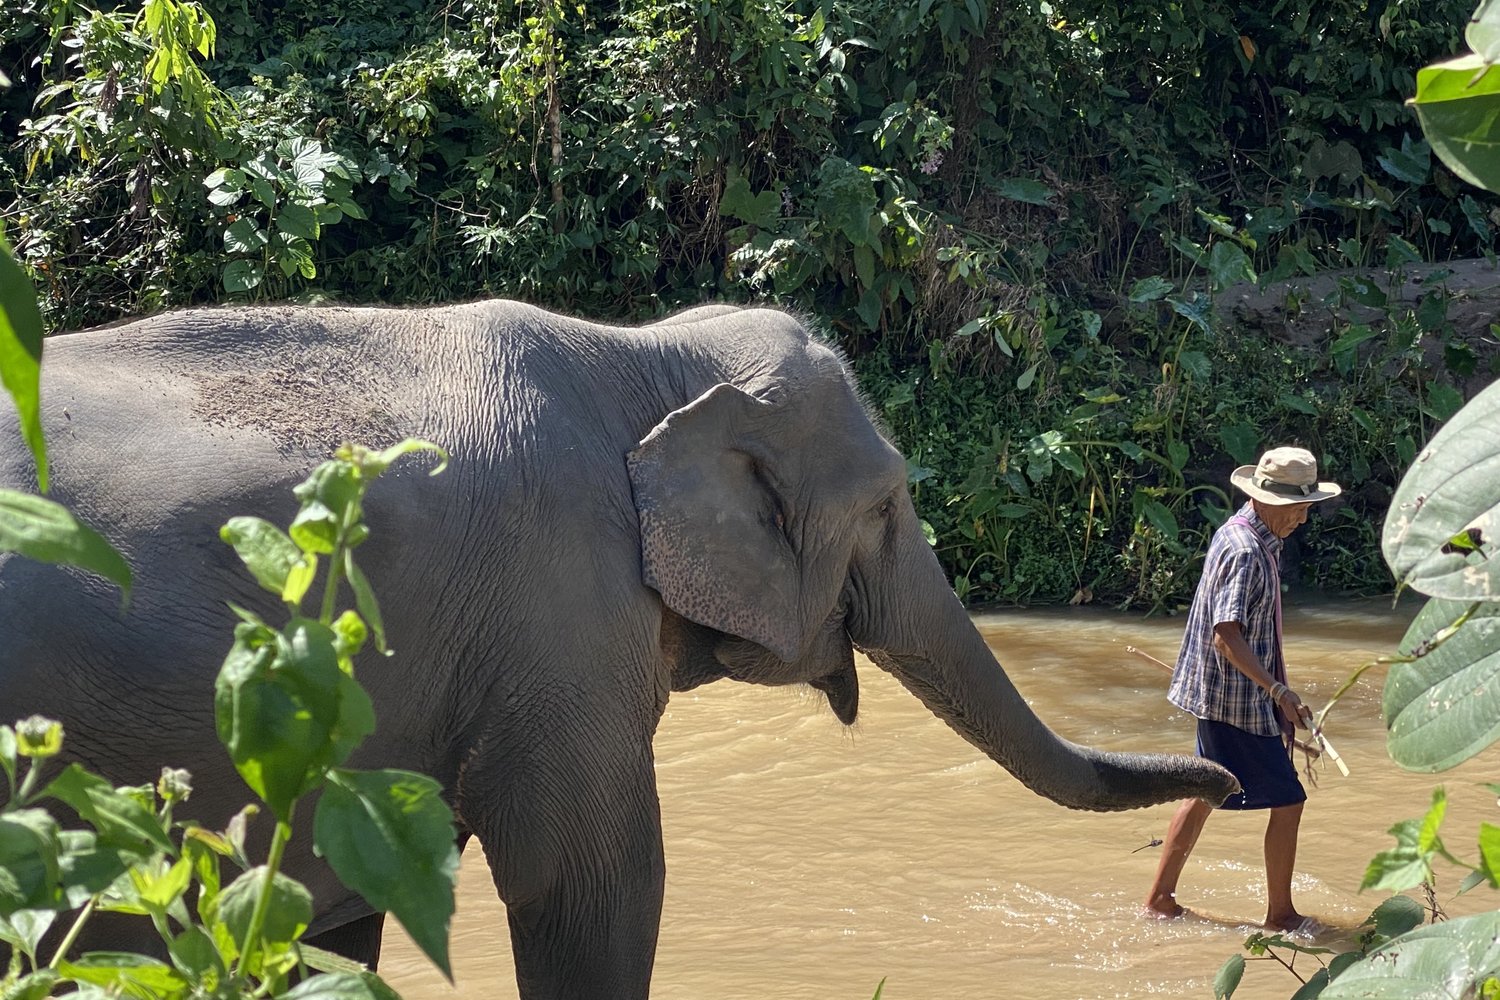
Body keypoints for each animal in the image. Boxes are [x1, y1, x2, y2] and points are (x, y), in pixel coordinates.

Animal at [0, 301, 1236, 997]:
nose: (1227, 778)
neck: (644, 354)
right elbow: (592, 888)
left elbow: (334, 924)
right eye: (887, 506)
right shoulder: (560, 616)